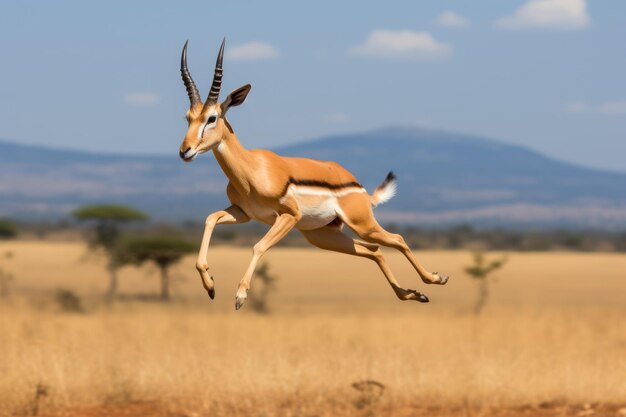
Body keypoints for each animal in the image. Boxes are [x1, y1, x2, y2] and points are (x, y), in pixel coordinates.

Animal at [178, 38, 446, 308]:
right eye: (188, 117)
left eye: (212, 118)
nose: (185, 151)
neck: (251, 170)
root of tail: (359, 187)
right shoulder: (244, 213)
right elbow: (210, 219)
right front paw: (210, 286)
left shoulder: (289, 215)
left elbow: (258, 247)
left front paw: (241, 295)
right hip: (322, 236)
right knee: (374, 250)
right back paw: (413, 294)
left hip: (361, 224)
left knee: (397, 239)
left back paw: (435, 279)